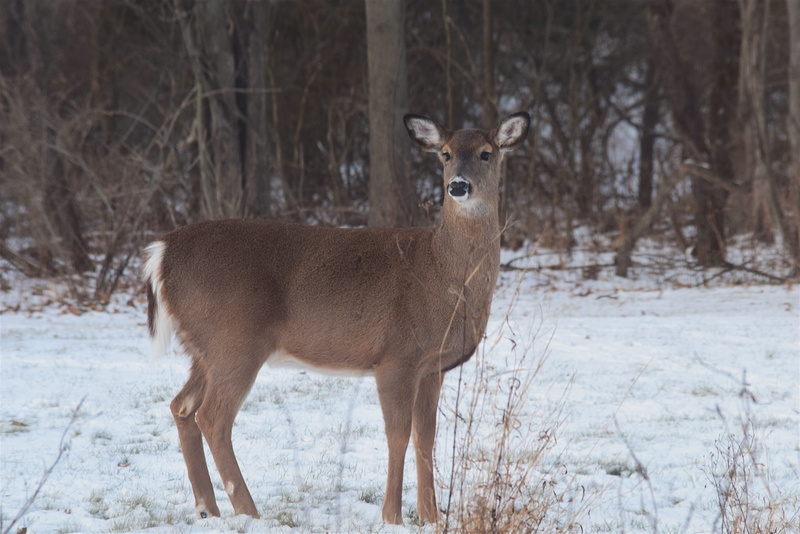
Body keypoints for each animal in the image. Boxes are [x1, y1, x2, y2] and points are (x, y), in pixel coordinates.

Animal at [142, 111, 530, 525]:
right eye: (445, 154)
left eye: (487, 153)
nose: (458, 186)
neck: (442, 272)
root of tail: (161, 253)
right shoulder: (396, 357)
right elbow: (398, 435)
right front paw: (392, 517)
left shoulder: (432, 367)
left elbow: (426, 438)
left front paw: (431, 517)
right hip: (234, 341)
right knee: (213, 417)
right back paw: (249, 512)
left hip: (204, 348)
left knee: (181, 406)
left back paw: (208, 509)